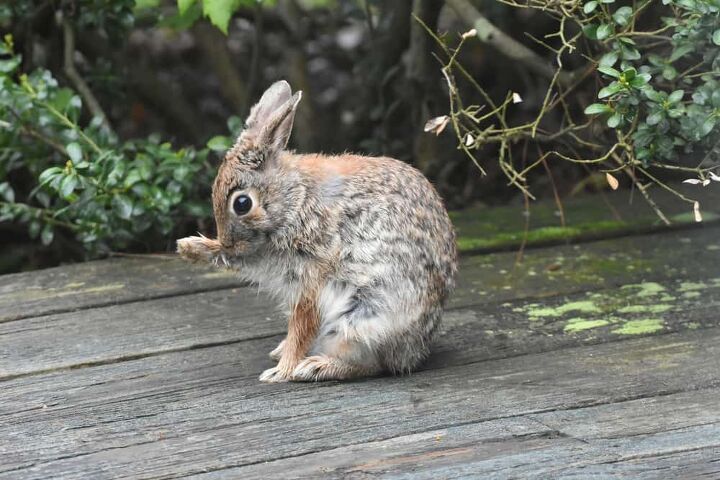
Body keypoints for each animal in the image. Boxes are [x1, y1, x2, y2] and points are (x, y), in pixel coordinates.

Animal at [177, 81, 458, 382]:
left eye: (242, 204)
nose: (230, 244)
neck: (295, 198)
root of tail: (414, 352)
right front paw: (190, 247)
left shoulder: (310, 279)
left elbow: (302, 326)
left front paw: (281, 372)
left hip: (364, 317)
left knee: (373, 364)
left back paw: (315, 366)